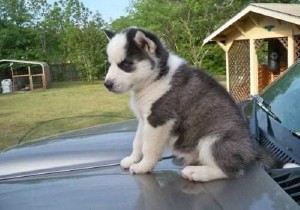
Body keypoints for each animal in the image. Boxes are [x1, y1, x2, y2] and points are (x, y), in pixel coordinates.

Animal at [103, 27, 255, 182]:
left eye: (125, 64)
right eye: (110, 64)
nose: (107, 84)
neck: (157, 77)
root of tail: (252, 152)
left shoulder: (159, 119)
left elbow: (149, 147)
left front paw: (143, 166)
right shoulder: (144, 119)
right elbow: (138, 142)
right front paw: (132, 160)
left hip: (213, 140)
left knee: (231, 170)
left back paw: (197, 173)